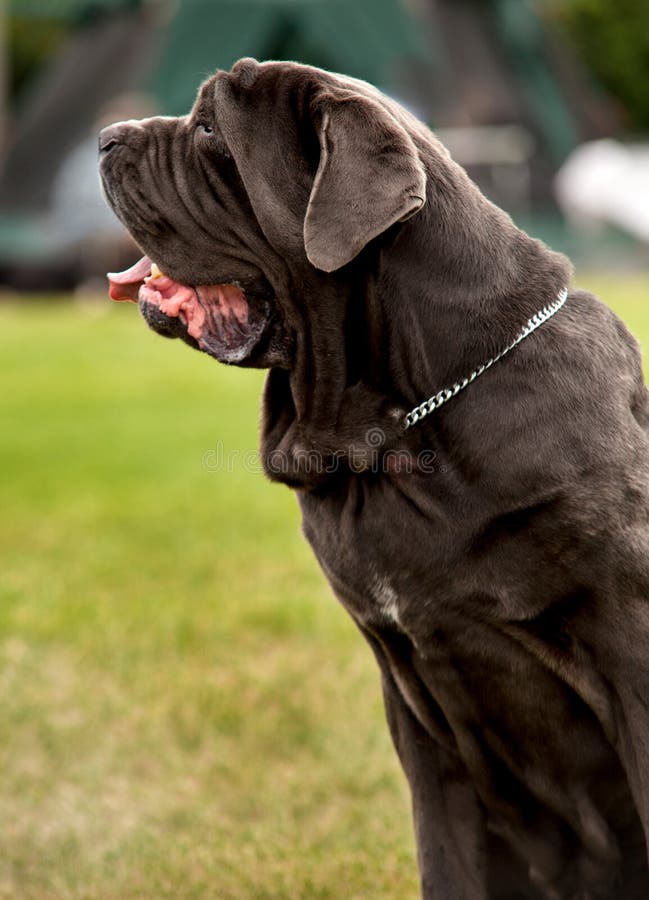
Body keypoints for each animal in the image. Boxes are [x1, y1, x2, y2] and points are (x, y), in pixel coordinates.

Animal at [98, 59, 648, 896]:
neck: (395, 434)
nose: (105, 136)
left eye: (208, 128)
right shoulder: (417, 705)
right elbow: (445, 856)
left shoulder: (628, 654)